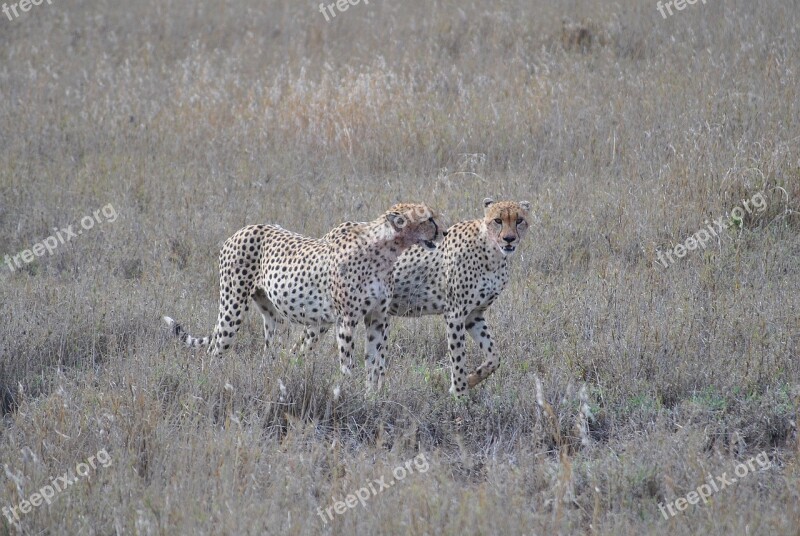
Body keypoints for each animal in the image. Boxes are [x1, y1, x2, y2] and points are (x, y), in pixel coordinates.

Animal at [163, 203, 444, 392]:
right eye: (429, 219)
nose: (442, 232)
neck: (387, 250)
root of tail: (243, 229)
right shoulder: (346, 319)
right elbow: (348, 364)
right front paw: (348, 393)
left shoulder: (377, 317)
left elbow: (375, 363)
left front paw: (372, 397)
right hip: (233, 305)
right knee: (216, 348)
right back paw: (212, 383)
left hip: (272, 314)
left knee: (270, 350)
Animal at [390, 197, 532, 394]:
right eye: (498, 220)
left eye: (519, 220)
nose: (509, 239)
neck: (492, 254)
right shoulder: (455, 314)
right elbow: (458, 358)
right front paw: (459, 394)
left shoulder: (474, 314)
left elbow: (494, 357)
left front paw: (471, 380)